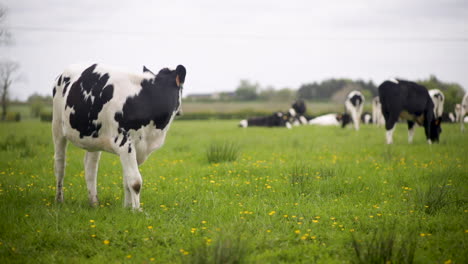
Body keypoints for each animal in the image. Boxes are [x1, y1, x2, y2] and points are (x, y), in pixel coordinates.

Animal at [52, 63, 186, 209]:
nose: (181, 111)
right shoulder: (125, 144)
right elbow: (135, 182)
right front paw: (137, 210)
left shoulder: (138, 147)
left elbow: (127, 181)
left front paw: (127, 208)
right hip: (57, 126)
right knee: (60, 164)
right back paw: (59, 200)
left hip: (93, 137)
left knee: (90, 167)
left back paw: (94, 202)